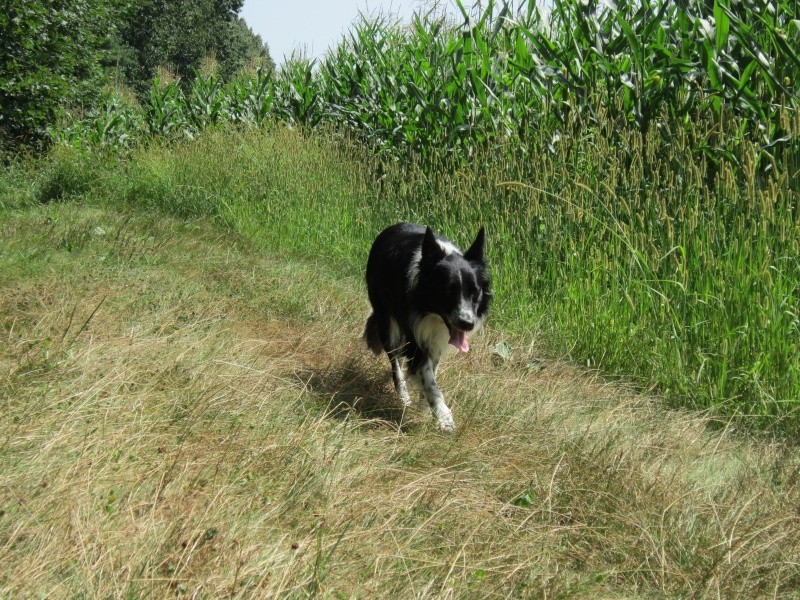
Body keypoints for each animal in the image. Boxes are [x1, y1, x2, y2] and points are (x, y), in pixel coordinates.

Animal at [366, 223, 490, 428]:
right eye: (449, 291)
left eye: (476, 292)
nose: (467, 324)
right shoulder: (415, 333)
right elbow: (427, 376)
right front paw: (443, 416)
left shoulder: (435, 340)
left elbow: (432, 371)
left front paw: (425, 408)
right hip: (384, 318)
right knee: (395, 361)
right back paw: (404, 396)